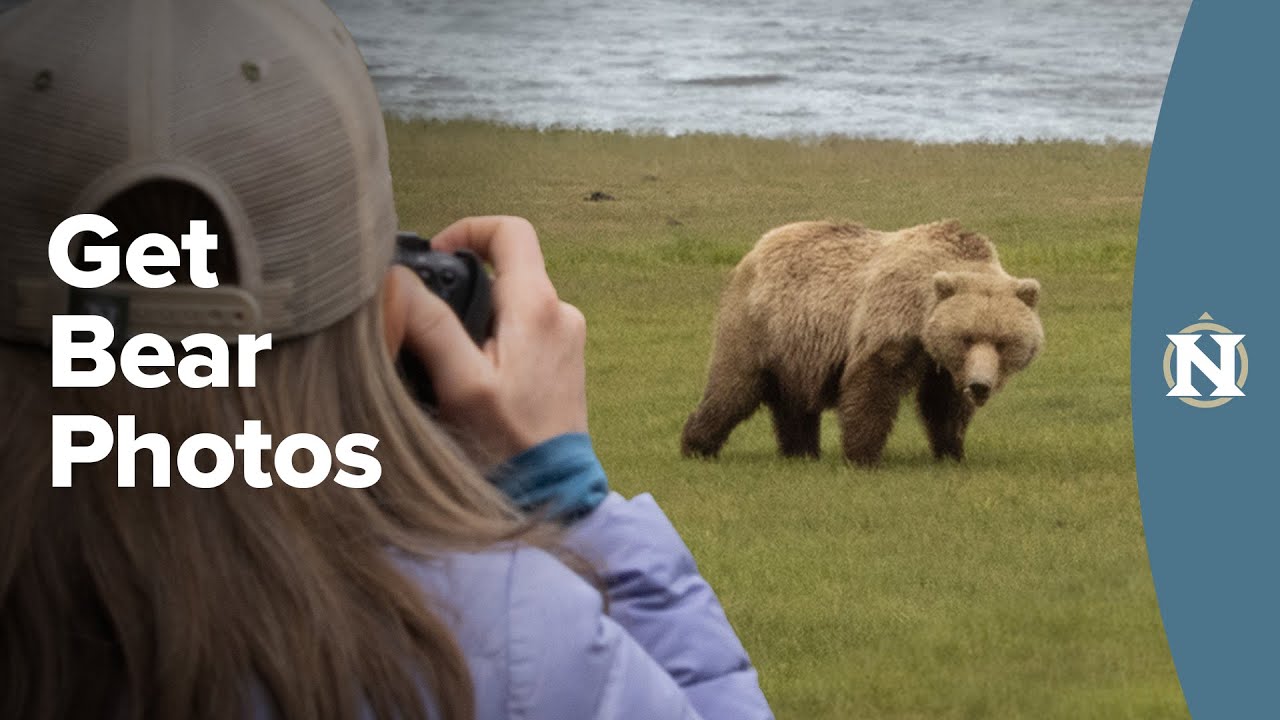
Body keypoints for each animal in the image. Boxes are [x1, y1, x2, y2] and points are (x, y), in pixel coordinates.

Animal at [680, 219, 1043, 466]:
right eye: (967, 337)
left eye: (1003, 341)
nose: (980, 386)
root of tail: (757, 248)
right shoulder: (894, 321)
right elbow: (872, 385)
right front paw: (862, 455)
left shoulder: (941, 363)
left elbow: (943, 404)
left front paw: (951, 451)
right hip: (758, 326)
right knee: (734, 387)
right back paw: (697, 445)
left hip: (797, 348)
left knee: (794, 401)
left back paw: (801, 451)